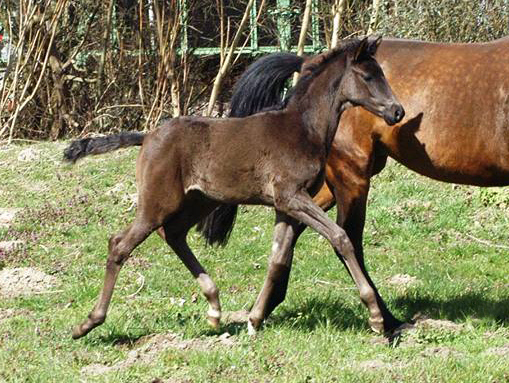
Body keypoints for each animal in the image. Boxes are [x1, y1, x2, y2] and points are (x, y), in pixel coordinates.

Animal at [64, 38, 404, 340]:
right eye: (368, 76)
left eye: (382, 73)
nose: (397, 112)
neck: (302, 128)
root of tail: (146, 137)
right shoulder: (291, 196)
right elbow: (341, 237)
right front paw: (376, 316)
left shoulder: (284, 206)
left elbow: (278, 258)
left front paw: (254, 319)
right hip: (157, 203)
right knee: (120, 245)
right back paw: (88, 323)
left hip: (199, 201)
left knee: (174, 234)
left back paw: (214, 307)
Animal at [199, 36, 509, 336]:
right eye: (368, 77)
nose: (398, 112)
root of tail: (309, 60)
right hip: (351, 176)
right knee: (347, 238)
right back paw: (384, 320)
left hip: (322, 185)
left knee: (296, 232)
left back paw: (261, 311)